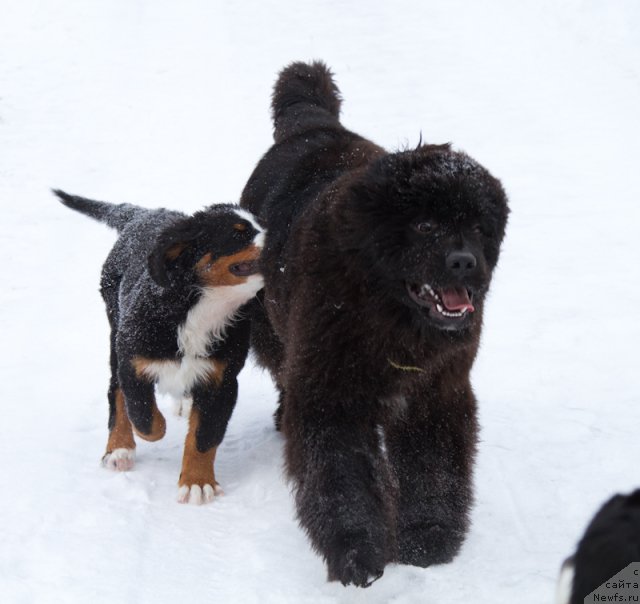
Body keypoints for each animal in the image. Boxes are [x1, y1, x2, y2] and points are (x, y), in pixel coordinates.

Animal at [55, 191, 264, 502]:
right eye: (238, 234)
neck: (202, 307)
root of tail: (145, 215)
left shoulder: (222, 379)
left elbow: (204, 436)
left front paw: (197, 483)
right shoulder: (132, 359)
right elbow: (144, 415)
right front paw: (154, 433)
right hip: (116, 330)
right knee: (115, 390)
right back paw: (119, 450)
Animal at [240, 61, 510, 584]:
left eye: (476, 227)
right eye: (425, 225)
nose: (464, 262)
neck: (388, 314)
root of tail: (313, 126)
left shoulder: (435, 393)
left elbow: (432, 469)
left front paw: (427, 537)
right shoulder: (331, 392)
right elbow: (340, 478)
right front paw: (356, 550)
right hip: (269, 326)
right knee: (284, 374)